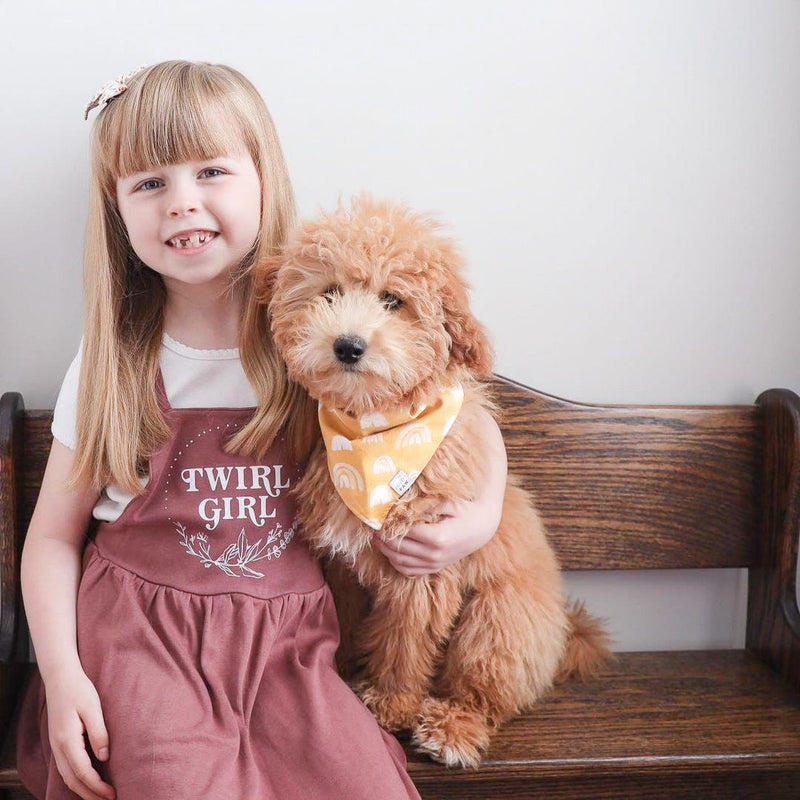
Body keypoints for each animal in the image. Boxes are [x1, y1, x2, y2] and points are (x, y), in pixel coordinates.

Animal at [266, 197, 608, 764]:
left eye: (393, 300)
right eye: (329, 291)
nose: (348, 346)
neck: (374, 431)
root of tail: (565, 635)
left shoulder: (422, 569)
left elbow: (405, 643)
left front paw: (391, 702)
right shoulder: (340, 567)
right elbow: (341, 622)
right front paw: (335, 671)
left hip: (498, 621)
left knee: (485, 688)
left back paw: (452, 727)